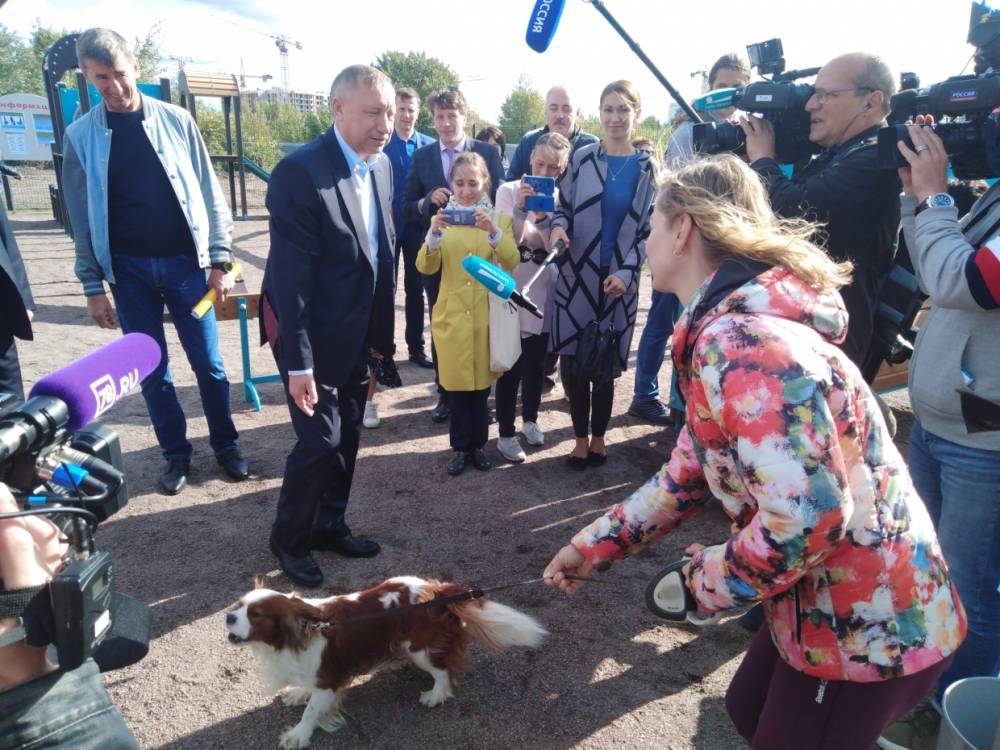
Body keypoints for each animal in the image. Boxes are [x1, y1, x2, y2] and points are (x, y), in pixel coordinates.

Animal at [226, 580, 548, 748]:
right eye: (239, 606)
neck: (300, 631)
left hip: (418, 648)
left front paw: (298, 735)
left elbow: (311, 711)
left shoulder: (329, 680)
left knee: (443, 672)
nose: (228, 616)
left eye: (255, 615)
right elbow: (307, 691)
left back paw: (435, 695)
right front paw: (298, 693)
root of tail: (439, 589)